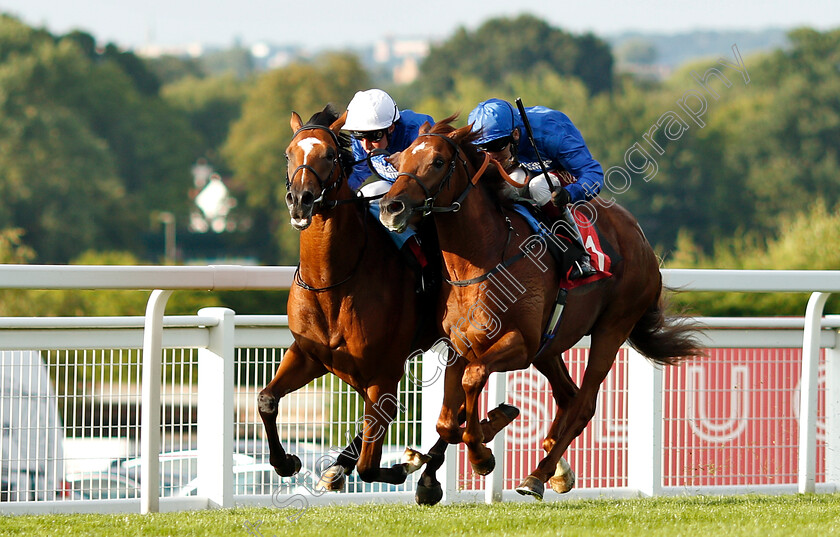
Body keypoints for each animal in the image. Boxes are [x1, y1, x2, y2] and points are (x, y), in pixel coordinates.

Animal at [378, 116, 704, 498]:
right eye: (398, 160)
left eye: (438, 162)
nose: (391, 207)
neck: (483, 260)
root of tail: (640, 238)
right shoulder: (460, 345)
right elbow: (447, 421)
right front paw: (481, 432)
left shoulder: (520, 344)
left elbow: (473, 382)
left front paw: (482, 452)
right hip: (551, 345)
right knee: (567, 395)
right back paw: (552, 464)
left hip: (612, 328)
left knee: (583, 404)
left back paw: (539, 474)